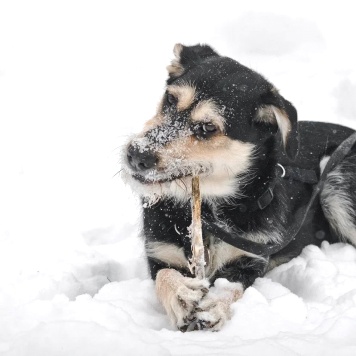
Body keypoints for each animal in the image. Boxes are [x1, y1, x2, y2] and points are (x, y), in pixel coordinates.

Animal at [121, 44, 356, 330]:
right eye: (170, 99)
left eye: (208, 127)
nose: (136, 155)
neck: (210, 213)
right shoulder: (160, 252)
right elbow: (165, 274)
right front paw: (182, 294)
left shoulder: (249, 259)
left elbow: (229, 287)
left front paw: (214, 307)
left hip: (336, 184)